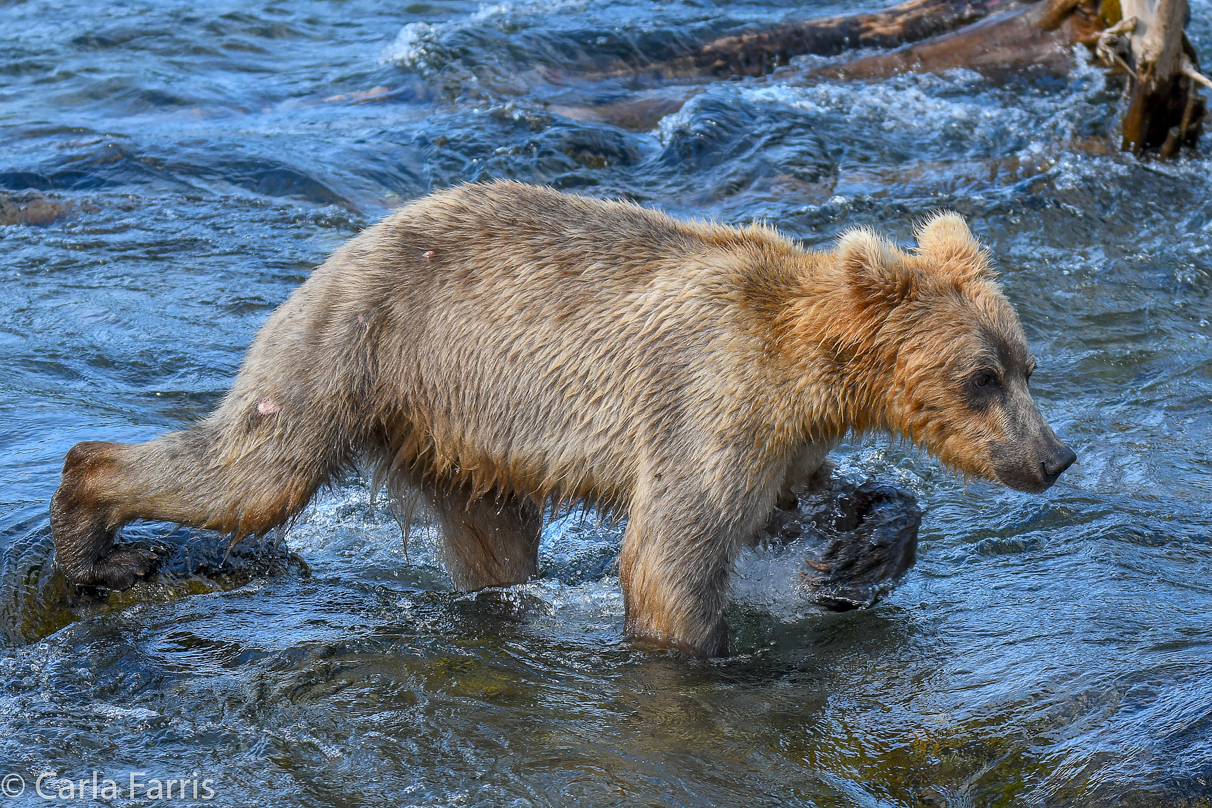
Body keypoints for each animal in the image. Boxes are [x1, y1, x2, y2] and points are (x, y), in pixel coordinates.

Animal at [47, 181, 1076, 658]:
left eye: (1026, 366)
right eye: (981, 376)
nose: (1054, 458)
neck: (812, 367)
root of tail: (346, 245)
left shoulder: (781, 438)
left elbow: (795, 507)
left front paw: (857, 551)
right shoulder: (712, 394)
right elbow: (673, 550)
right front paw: (717, 654)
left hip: (463, 438)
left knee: (496, 545)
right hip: (351, 351)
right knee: (249, 472)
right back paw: (97, 533)